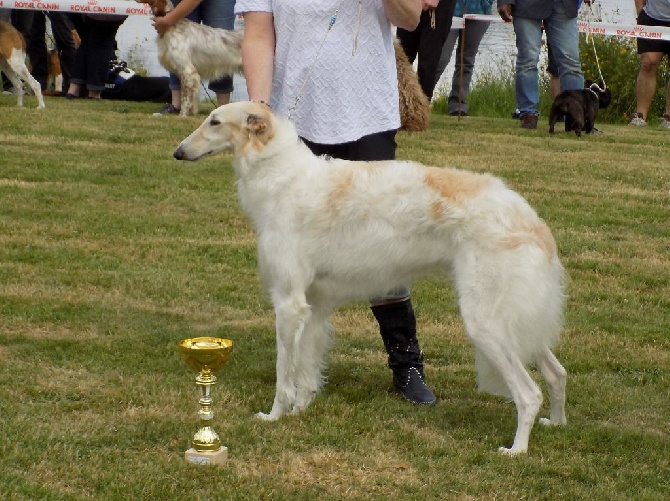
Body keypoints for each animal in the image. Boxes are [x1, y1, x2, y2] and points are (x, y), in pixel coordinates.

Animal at [176, 100, 568, 454]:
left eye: (214, 121)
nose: (178, 152)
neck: (282, 174)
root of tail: (532, 221)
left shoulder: (288, 302)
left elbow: (284, 371)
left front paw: (275, 415)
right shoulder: (313, 305)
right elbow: (306, 368)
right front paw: (300, 410)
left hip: (484, 321)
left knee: (529, 393)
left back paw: (516, 450)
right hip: (514, 321)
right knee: (557, 373)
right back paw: (556, 423)